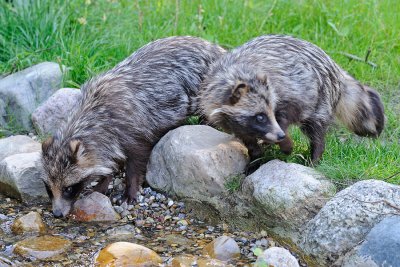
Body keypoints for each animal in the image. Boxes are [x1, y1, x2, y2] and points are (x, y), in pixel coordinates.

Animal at [42, 36, 227, 219]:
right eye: (49, 189)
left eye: (68, 188)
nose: (57, 214)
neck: (92, 114)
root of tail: (217, 48)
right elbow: (110, 159)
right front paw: (103, 182)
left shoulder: (133, 128)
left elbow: (136, 160)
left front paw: (130, 189)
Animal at [200, 34, 384, 164]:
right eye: (260, 117)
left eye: (269, 112)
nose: (280, 136)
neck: (235, 74)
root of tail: (335, 69)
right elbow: (244, 134)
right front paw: (255, 153)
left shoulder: (292, 88)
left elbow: (287, 114)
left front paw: (286, 144)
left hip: (321, 95)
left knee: (315, 128)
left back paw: (315, 156)